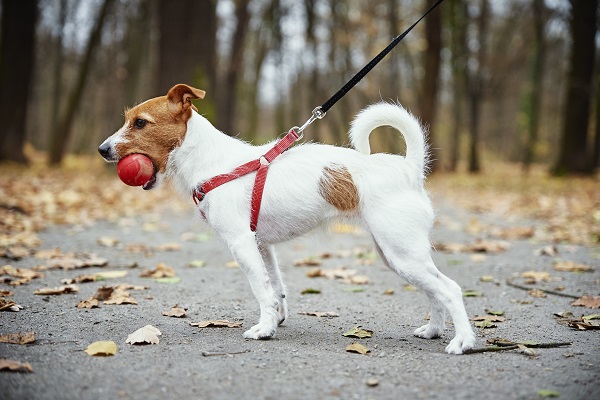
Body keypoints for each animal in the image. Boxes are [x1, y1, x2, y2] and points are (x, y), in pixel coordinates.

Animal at [97, 83, 474, 354]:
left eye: (140, 123)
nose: (103, 149)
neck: (210, 160)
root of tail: (409, 167)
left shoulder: (241, 244)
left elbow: (260, 289)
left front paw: (264, 330)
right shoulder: (262, 245)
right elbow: (275, 287)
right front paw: (276, 320)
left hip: (402, 253)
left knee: (450, 289)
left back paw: (463, 342)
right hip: (400, 255)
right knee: (435, 290)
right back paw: (433, 330)